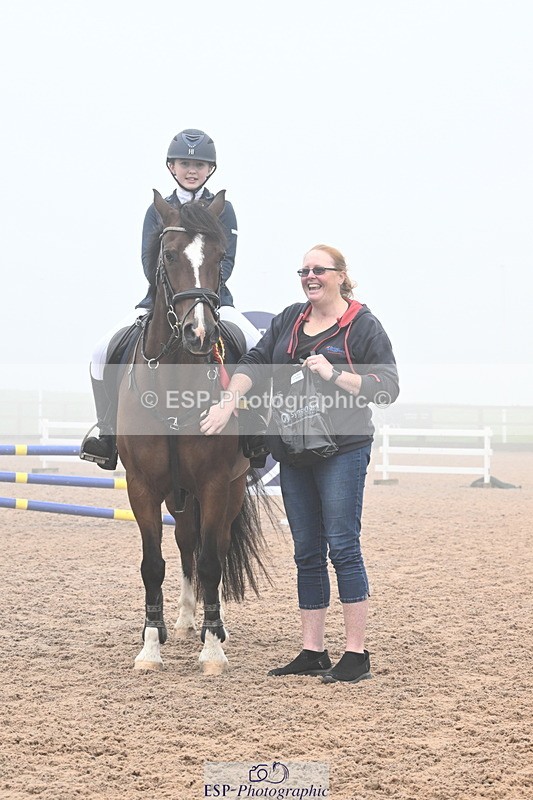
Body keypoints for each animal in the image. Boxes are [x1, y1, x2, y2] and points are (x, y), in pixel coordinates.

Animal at [117, 189, 269, 674]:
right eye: (167, 254)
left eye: (221, 255)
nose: (199, 335)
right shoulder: (142, 486)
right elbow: (153, 564)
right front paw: (150, 646)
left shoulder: (216, 484)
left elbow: (211, 563)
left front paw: (213, 649)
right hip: (178, 495)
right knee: (185, 543)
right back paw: (183, 621)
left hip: (227, 490)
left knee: (211, 548)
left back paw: (211, 627)